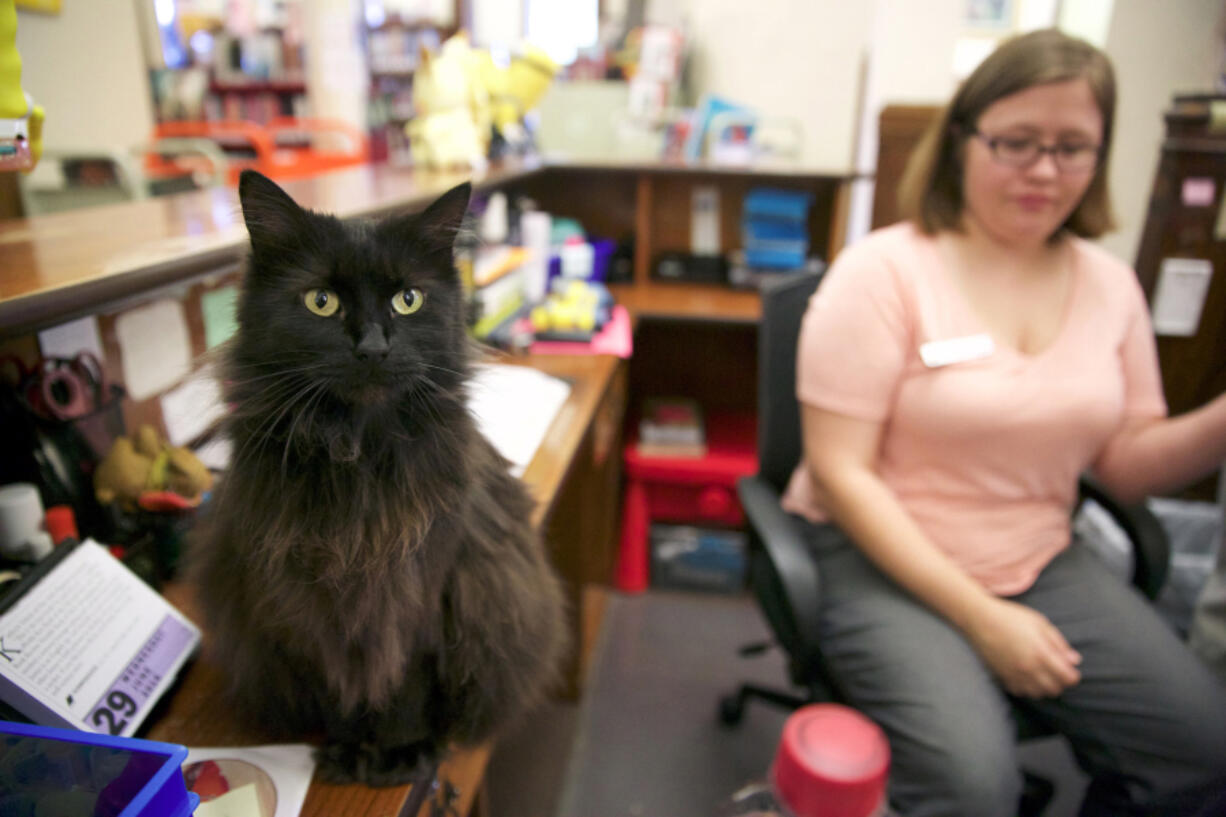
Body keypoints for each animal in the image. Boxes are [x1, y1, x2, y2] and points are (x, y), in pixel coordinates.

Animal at [192, 170, 568, 785]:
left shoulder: (420, 593)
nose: (372, 346)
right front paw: (348, 749)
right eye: (320, 302)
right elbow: (341, 688)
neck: (358, 456)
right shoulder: (312, 600)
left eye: (407, 300)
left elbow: (404, 689)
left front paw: (399, 752)